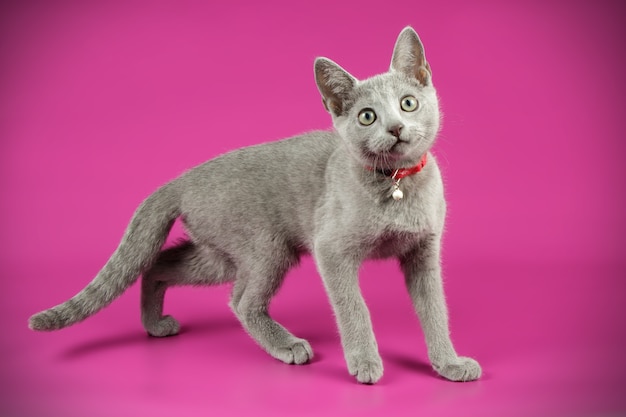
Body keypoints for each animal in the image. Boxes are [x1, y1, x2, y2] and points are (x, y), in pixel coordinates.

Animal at [29, 26, 480, 384]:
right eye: (367, 116)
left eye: (408, 103)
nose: (396, 128)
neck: (398, 183)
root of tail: (182, 179)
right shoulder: (331, 250)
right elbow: (353, 308)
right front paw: (365, 363)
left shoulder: (424, 251)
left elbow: (435, 309)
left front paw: (449, 364)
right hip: (266, 246)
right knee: (242, 301)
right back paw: (287, 345)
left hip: (220, 253)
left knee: (160, 264)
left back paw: (155, 324)